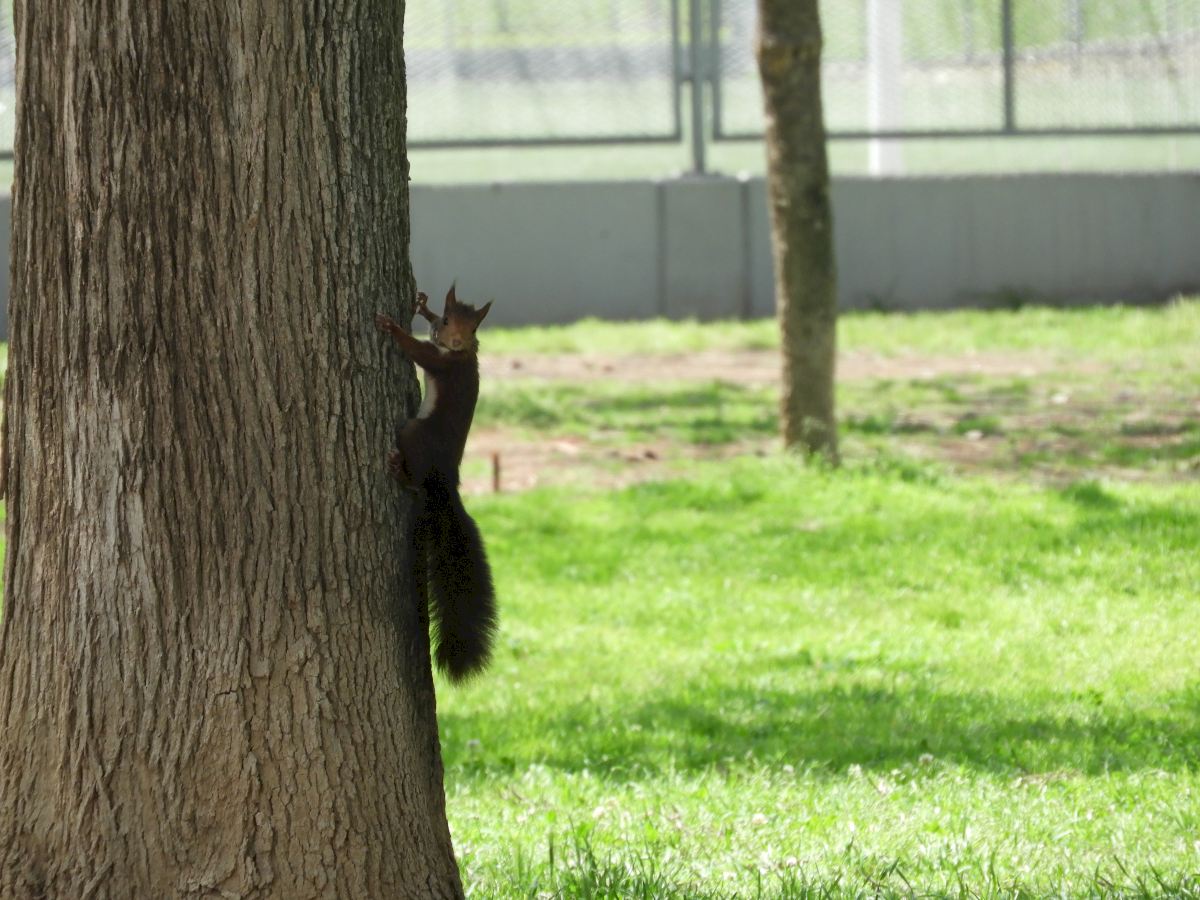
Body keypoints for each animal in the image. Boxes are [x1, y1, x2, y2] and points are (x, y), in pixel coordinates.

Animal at [375, 285, 497, 682]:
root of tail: (446, 479)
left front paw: (393, 327)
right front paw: (422, 305)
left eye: (472, 328)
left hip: (414, 433)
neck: (459, 353)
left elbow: (417, 351)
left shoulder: (440, 362)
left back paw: (398, 470)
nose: (456, 340)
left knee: (413, 481)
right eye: (446, 319)